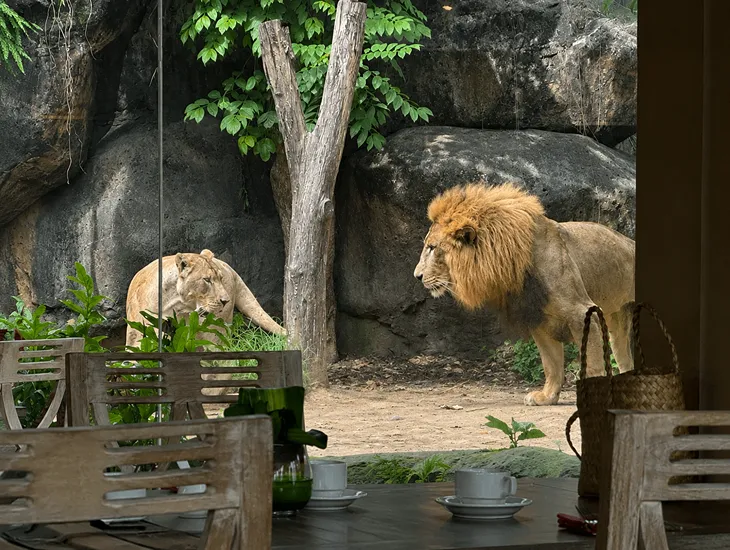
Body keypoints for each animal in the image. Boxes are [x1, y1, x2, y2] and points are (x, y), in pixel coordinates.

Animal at [125, 249, 285, 348]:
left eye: (220, 278)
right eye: (207, 280)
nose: (225, 301)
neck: (173, 304)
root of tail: (229, 267)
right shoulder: (140, 328)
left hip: (214, 327)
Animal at [413, 183, 635, 406]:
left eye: (432, 247)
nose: (417, 276)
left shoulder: (580, 312)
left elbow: (591, 360)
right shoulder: (539, 320)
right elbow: (551, 364)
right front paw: (547, 397)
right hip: (617, 322)